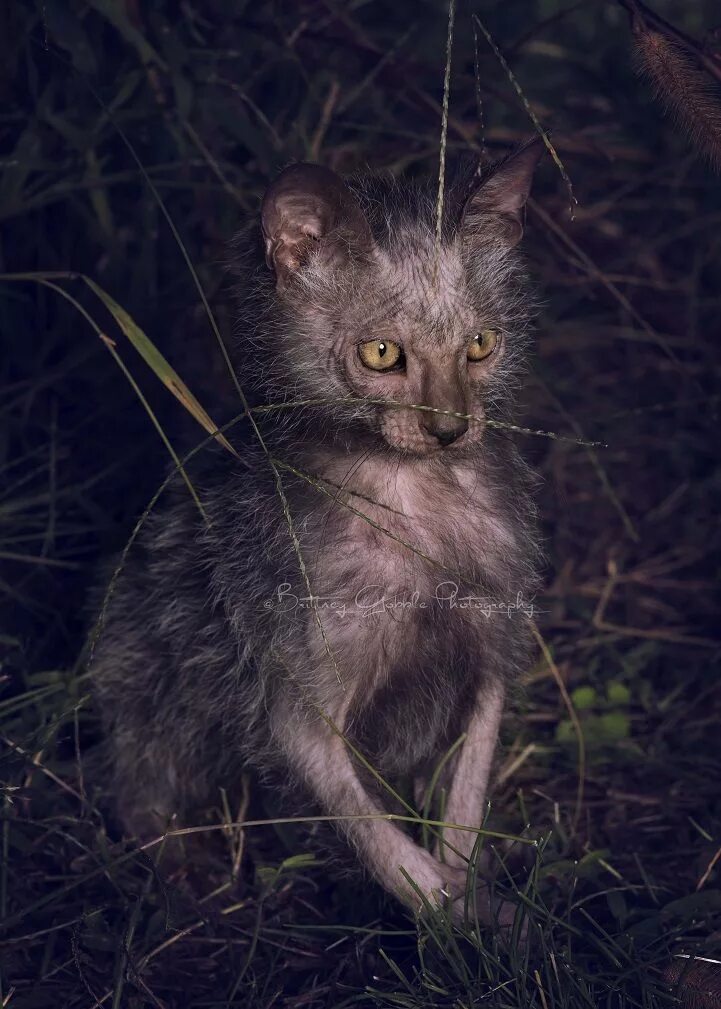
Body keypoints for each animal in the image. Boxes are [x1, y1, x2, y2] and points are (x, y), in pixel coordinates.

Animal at [93, 140, 548, 924]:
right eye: (381, 354)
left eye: (481, 345)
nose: (449, 428)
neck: (412, 503)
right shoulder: (291, 686)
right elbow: (377, 839)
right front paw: (451, 912)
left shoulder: (493, 649)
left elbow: (464, 805)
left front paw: (484, 910)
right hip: (136, 672)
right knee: (140, 783)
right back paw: (181, 869)